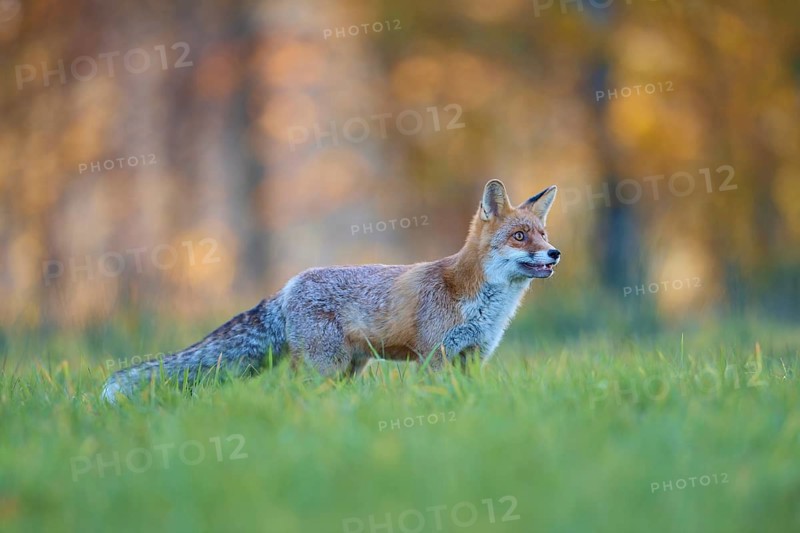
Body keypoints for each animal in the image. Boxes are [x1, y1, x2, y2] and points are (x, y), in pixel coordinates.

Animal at [102, 179, 560, 403]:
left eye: (542, 233)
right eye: (520, 237)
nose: (555, 253)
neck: (481, 305)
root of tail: (288, 286)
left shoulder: (473, 357)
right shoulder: (435, 356)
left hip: (348, 368)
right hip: (325, 365)